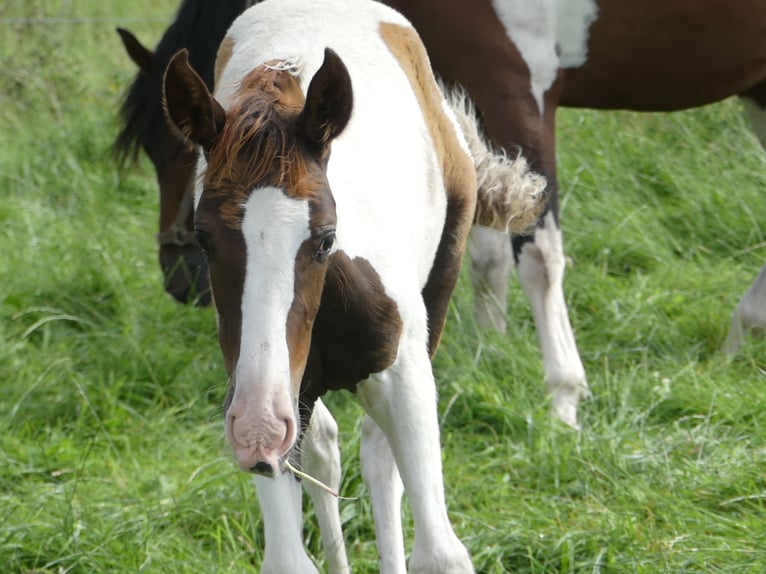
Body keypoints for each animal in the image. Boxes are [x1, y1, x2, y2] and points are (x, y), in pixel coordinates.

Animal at [115, 1, 766, 432]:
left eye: (178, 149)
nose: (180, 276)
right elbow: (485, 252)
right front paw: (490, 346)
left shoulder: (517, 89)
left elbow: (538, 254)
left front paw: (563, 396)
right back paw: (742, 333)